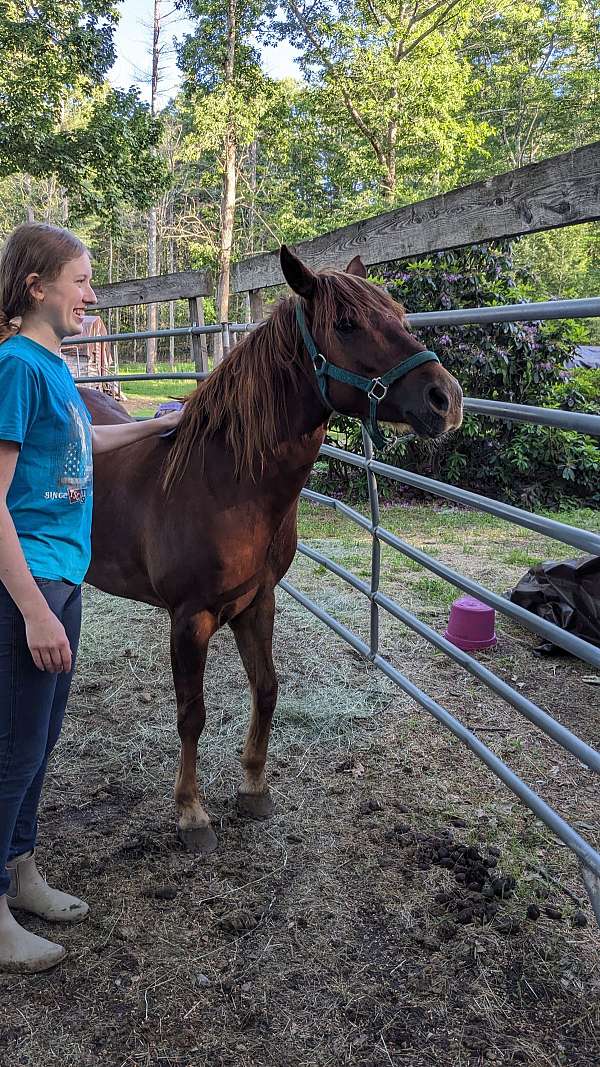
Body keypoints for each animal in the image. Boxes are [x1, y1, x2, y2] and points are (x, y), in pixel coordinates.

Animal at [81, 246, 463, 854]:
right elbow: (192, 714)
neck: (223, 481)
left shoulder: (258, 603)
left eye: (400, 313)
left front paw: (253, 788)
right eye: (347, 323)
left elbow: (266, 690)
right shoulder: (190, 619)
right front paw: (191, 814)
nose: (445, 399)